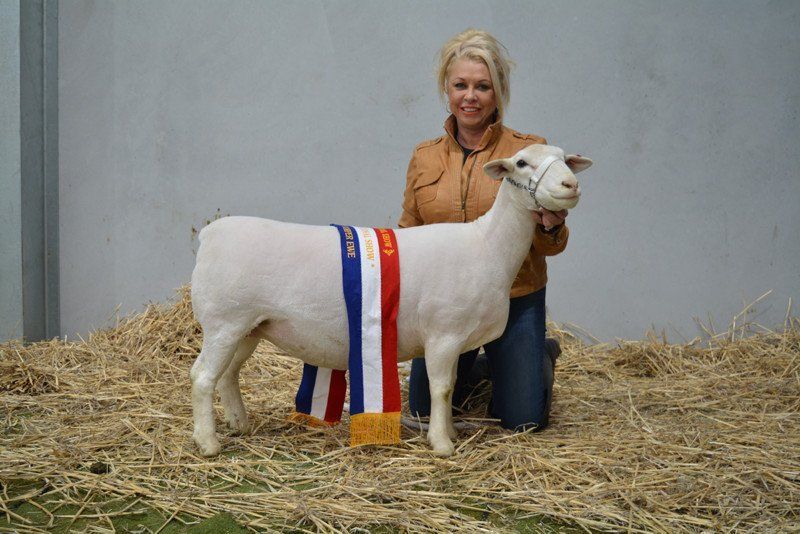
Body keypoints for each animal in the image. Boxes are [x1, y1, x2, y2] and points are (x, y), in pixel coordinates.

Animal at [189, 143, 592, 457]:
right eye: (522, 163)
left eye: (565, 159)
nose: (571, 185)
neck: (487, 246)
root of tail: (210, 234)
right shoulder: (444, 333)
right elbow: (442, 388)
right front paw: (442, 444)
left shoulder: (456, 336)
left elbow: (448, 388)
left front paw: (449, 430)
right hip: (225, 322)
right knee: (203, 376)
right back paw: (208, 443)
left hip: (250, 327)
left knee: (228, 374)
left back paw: (239, 424)